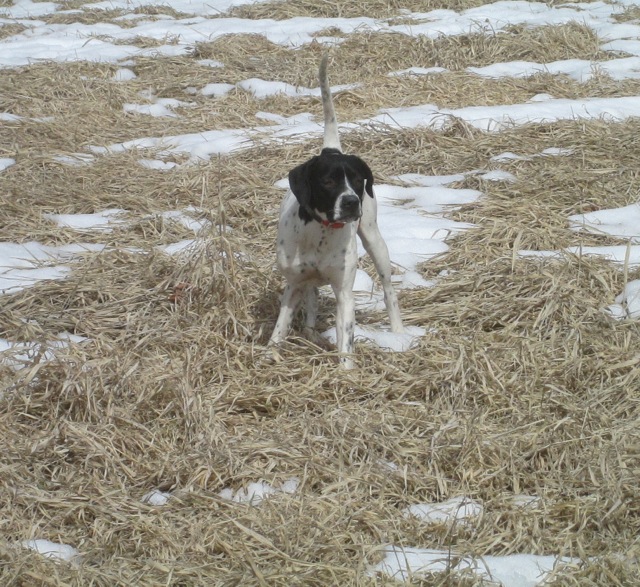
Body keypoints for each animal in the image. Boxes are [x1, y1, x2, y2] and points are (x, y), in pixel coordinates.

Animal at [268, 55, 402, 368]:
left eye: (357, 179)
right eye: (328, 181)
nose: (352, 201)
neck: (321, 231)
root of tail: (331, 150)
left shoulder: (344, 292)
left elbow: (347, 339)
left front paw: (346, 371)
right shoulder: (293, 284)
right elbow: (280, 326)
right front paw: (270, 352)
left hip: (375, 241)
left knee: (389, 291)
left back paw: (399, 334)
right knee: (312, 297)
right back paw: (310, 332)